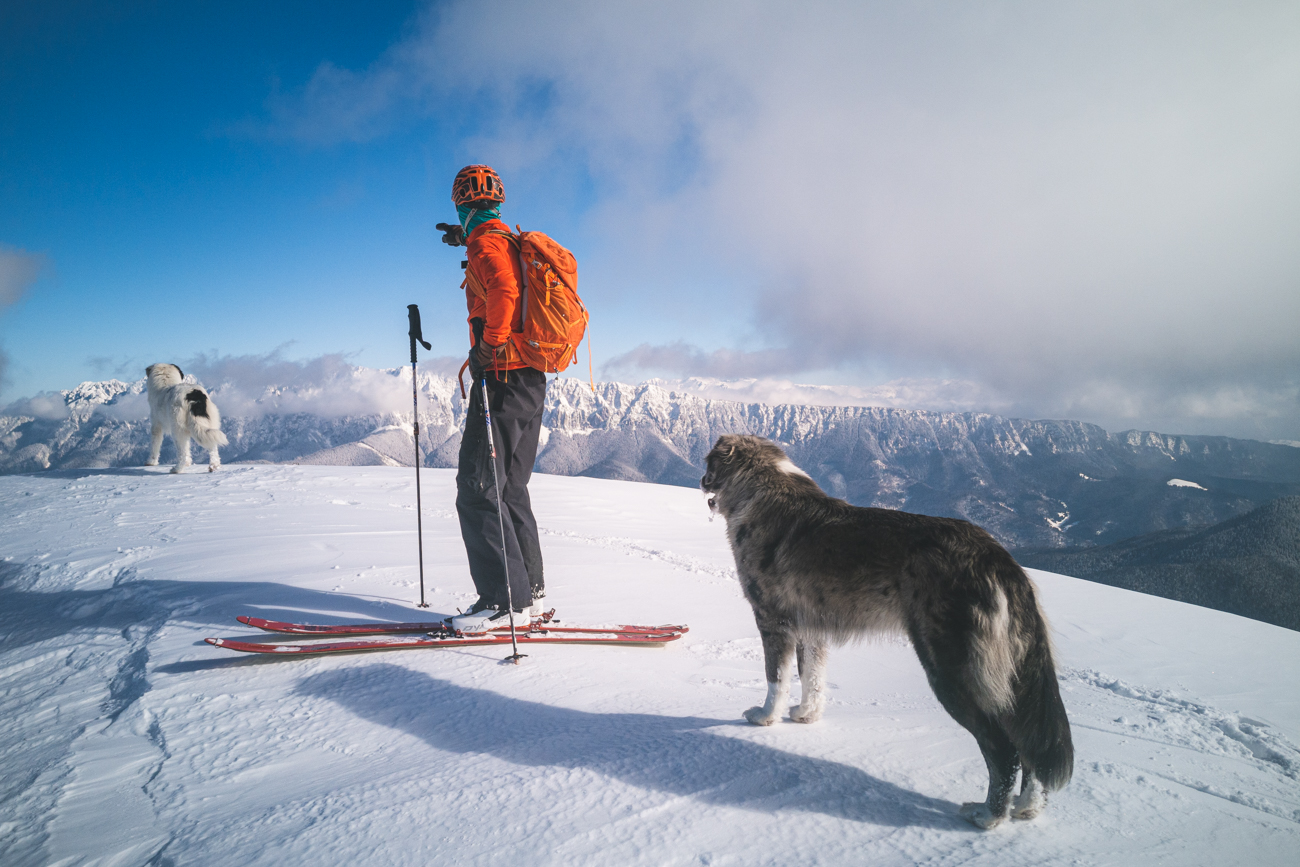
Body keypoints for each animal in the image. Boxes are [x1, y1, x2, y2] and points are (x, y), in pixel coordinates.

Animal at [707, 436, 1071, 831]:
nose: (702, 483)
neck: (759, 485)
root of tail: (998, 558)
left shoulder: (773, 622)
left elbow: (776, 678)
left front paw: (764, 718)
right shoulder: (811, 630)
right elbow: (812, 679)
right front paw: (806, 716)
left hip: (953, 671)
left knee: (1003, 749)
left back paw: (988, 815)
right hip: (1010, 676)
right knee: (1028, 742)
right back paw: (1028, 808)